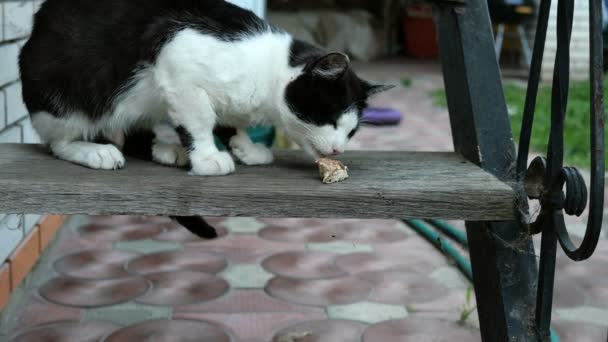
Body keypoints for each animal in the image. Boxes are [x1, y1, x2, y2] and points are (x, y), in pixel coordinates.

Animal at [19, 1, 392, 238]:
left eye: (352, 131)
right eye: (329, 118)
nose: (338, 150)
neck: (267, 75)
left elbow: (231, 120)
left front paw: (245, 147)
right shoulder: (177, 61)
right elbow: (199, 120)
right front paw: (209, 157)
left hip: (140, 101)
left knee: (136, 133)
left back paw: (167, 150)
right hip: (66, 96)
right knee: (57, 142)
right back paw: (93, 150)